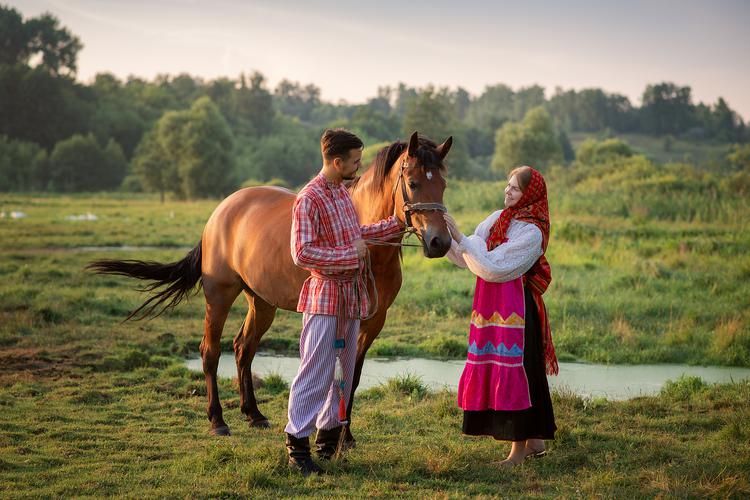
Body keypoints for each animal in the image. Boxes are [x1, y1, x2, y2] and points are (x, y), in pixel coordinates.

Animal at [88, 131, 452, 440]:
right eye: (413, 182)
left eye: (444, 185)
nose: (440, 242)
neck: (368, 241)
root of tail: (220, 212)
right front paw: (333, 435)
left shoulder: (373, 320)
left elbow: (354, 375)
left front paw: (345, 436)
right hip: (219, 297)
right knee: (211, 351)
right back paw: (218, 421)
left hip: (262, 302)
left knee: (243, 348)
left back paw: (254, 414)